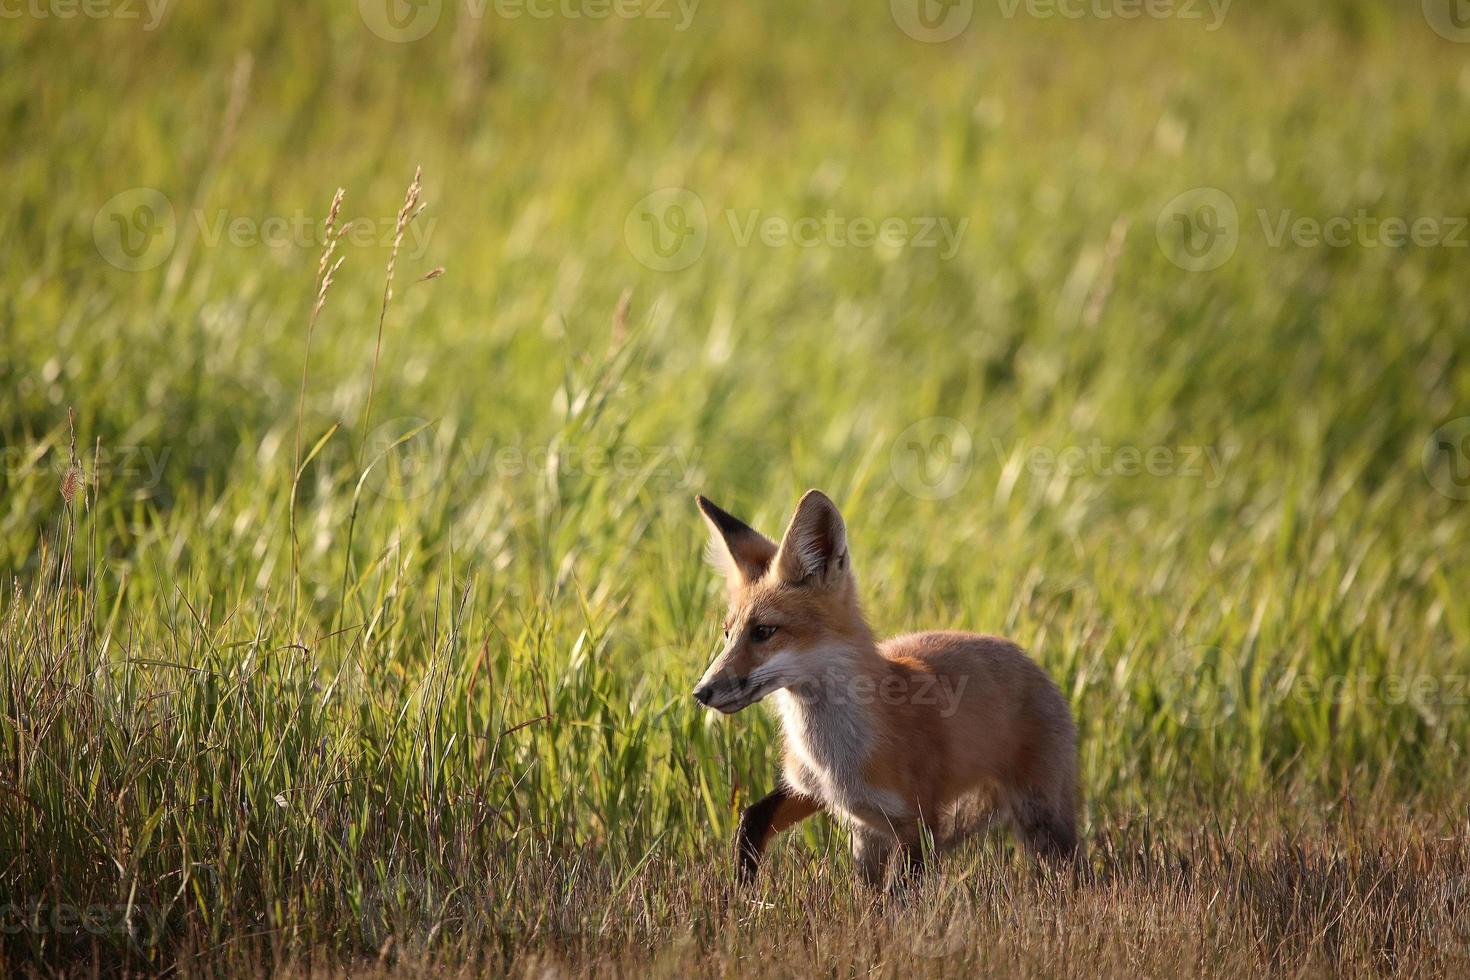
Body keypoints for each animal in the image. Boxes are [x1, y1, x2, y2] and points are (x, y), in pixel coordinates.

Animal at [687, 490, 1081, 887]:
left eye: (764, 632)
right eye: (727, 633)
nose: (701, 692)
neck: (835, 760)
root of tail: (1028, 658)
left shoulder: (916, 824)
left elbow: (898, 895)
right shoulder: (820, 795)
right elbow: (751, 820)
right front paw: (741, 890)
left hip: (1042, 820)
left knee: (1076, 871)